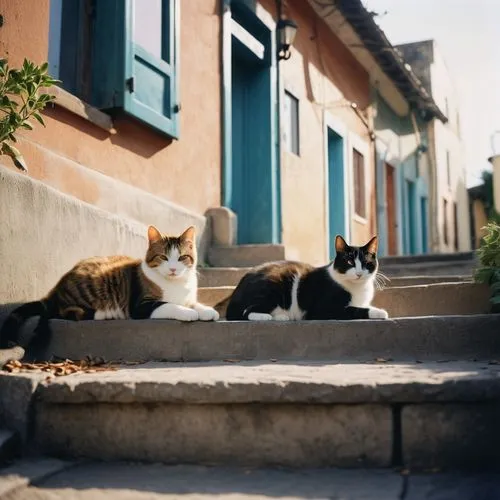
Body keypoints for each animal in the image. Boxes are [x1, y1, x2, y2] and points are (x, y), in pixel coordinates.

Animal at [0, 226, 219, 360]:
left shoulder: (187, 296)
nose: (173, 269)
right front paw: (189, 312)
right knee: (68, 312)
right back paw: (104, 313)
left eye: (182, 257)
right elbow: (170, 305)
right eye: (163, 257)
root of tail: (55, 290)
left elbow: (194, 303)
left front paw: (207, 310)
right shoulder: (141, 306)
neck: (176, 284)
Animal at [225, 233, 388, 320]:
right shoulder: (324, 309)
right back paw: (274, 317)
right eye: (349, 262)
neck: (358, 287)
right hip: (274, 284)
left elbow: (362, 306)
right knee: (246, 312)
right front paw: (380, 311)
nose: (359, 273)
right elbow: (355, 309)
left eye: (366, 263)